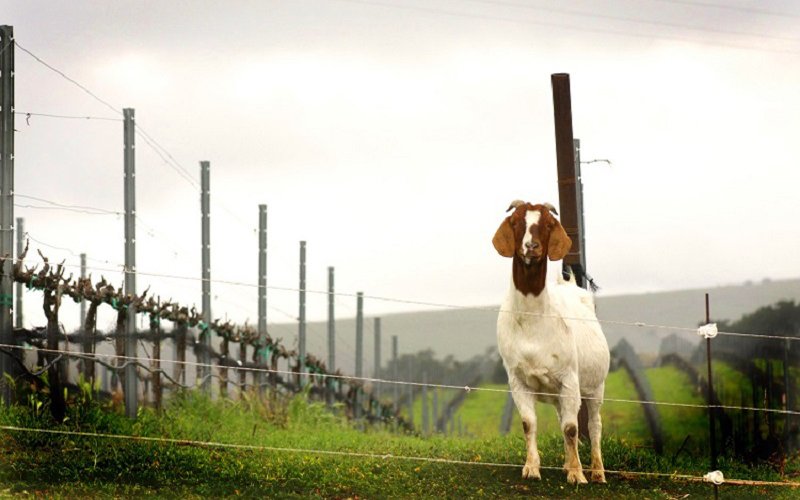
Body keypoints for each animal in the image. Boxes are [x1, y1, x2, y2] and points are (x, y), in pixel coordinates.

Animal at [490, 199, 608, 484]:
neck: (533, 320)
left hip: (595, 386)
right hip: (556, 393)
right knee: (564, 418)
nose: (531, 247)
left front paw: (577, 474)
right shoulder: (518, 380)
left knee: (594, 424)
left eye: (547, 224)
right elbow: (529, 423)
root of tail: (570, 285)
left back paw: (597, 471)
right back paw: (567, 464)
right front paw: (531, 468)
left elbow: (572, 428)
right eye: (516, 222)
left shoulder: (569, 379)